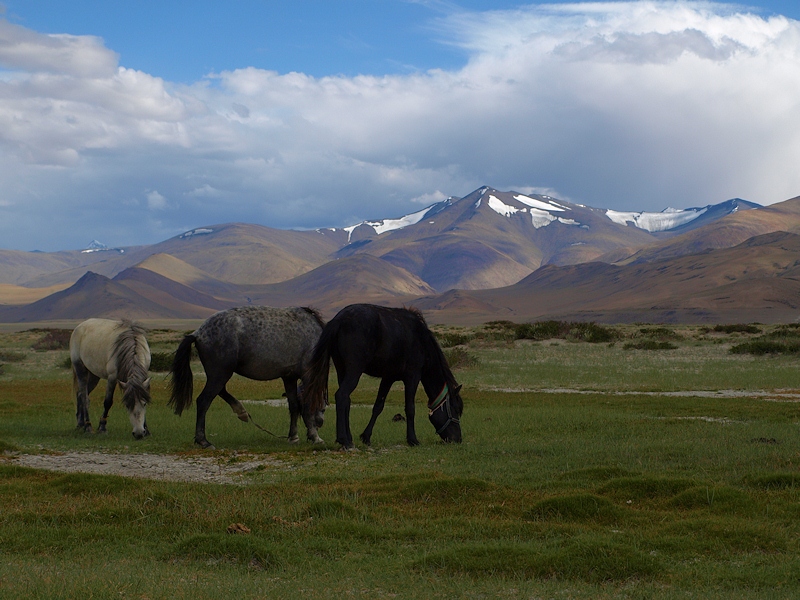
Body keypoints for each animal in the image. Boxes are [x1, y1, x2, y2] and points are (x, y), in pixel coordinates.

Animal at [169, 308, 328, 448]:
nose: (320, 423)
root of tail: (198, 333)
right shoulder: (308, 375)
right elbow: (307, 406)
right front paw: (315, 437)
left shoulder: (289, 377)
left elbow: (294, 406)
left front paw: (293, 437)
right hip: (220, 374)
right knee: (203, 401)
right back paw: (203, 441)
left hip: (219, 375)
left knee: (221, 391)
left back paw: (241, 411)